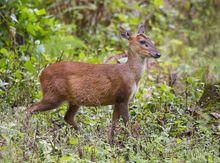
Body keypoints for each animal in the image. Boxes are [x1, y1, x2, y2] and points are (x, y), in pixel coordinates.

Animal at [28, 24, 161, 143]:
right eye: (143, 42)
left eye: (151, 40)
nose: (158, 54)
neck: (131, 75)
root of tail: (41, 75)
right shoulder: (123, 96)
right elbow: (127, 123)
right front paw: (133, 143)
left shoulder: (117, 100)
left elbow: (114, 123)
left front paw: (110, 143)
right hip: (53, 94)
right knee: (30, 108)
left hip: (74, 100)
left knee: (67, 117)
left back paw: (85, 137)